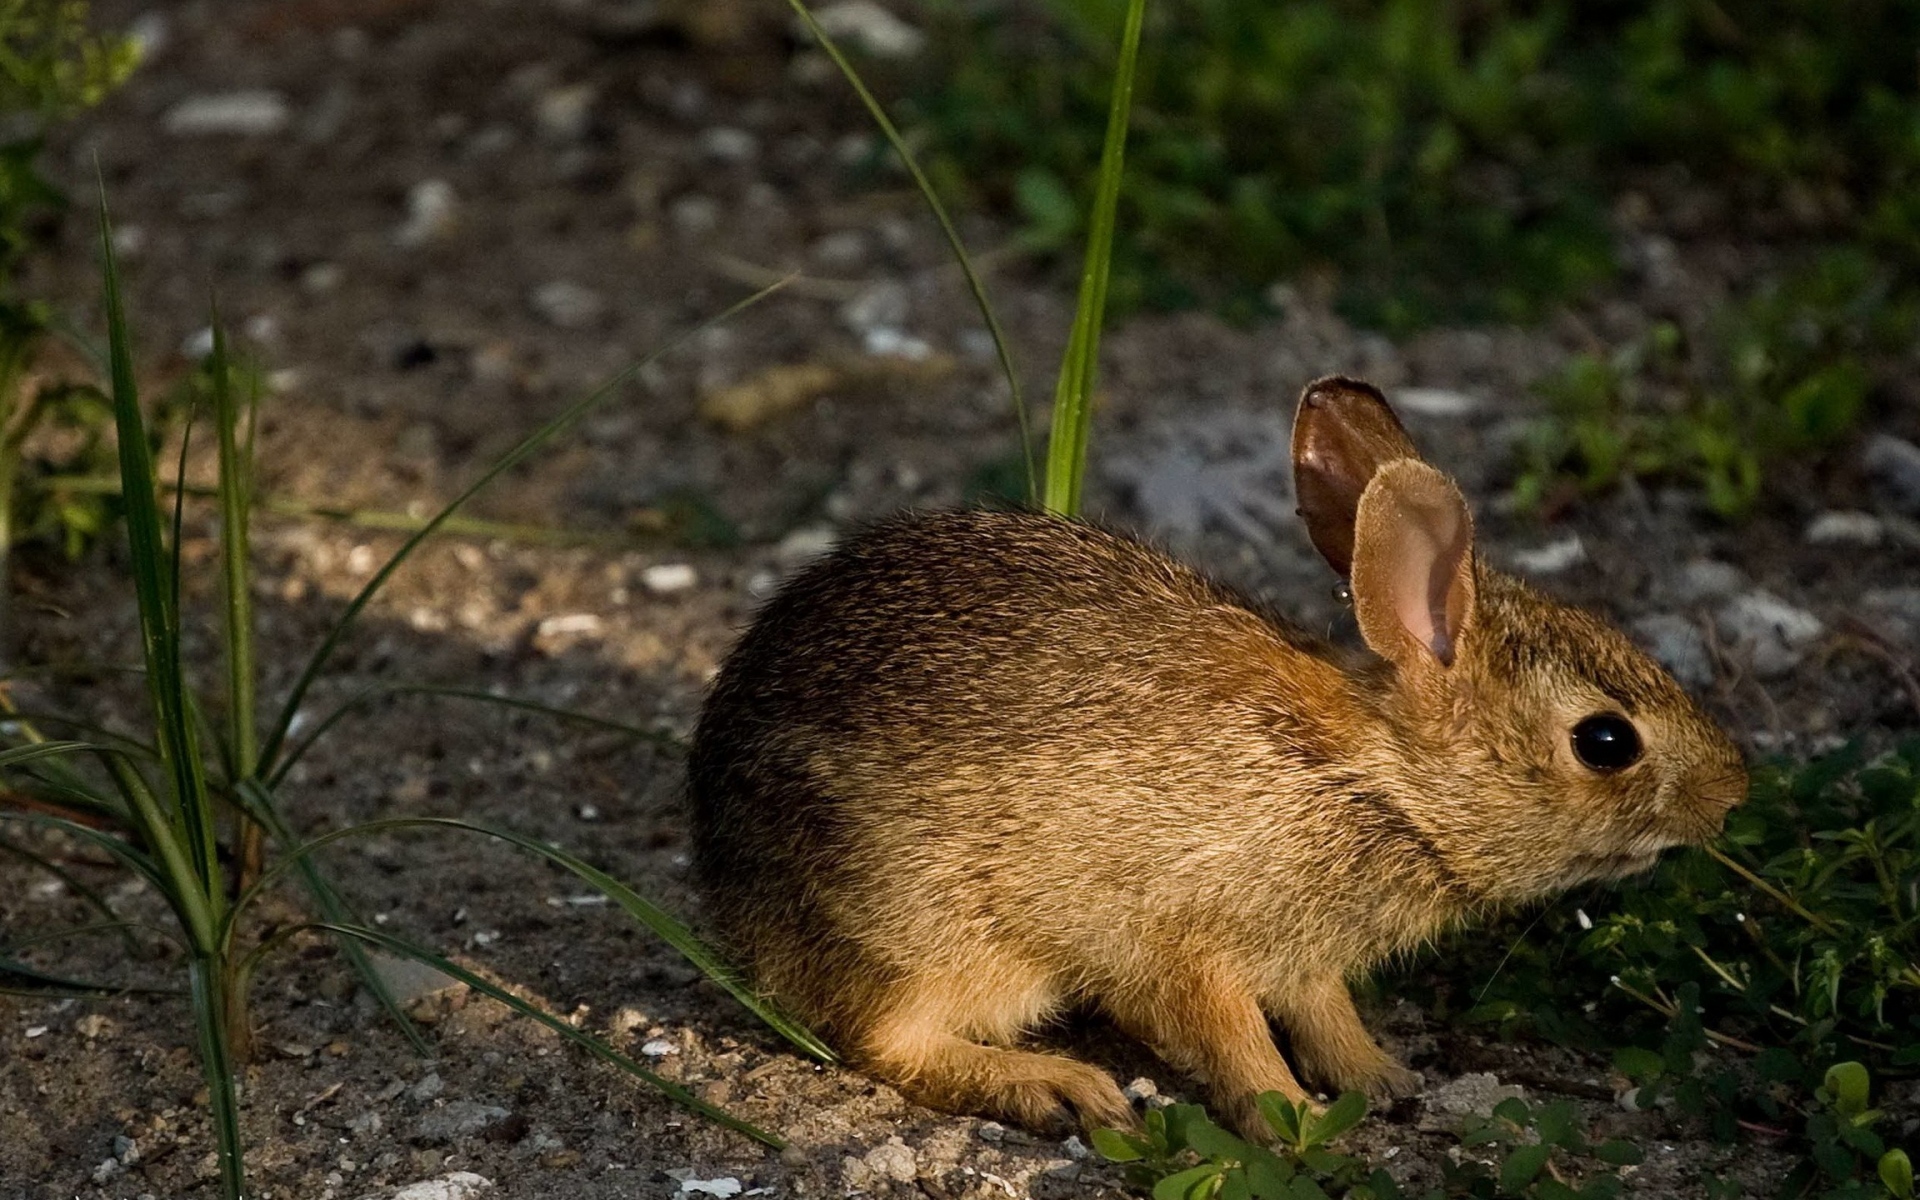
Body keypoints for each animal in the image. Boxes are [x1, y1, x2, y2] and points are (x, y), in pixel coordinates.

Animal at [687, 377, 1747, 1139]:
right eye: (1605, 741)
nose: (1732, 794)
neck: (1385, 785)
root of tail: (726, 885)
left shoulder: (1304, 960)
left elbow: (1325, 1013)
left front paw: (1380, 1078)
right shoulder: (1182, 943)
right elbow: (1231, 1039)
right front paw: (1294, 1116)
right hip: (931, 931)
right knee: (881, 1040)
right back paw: (1057, 1086)